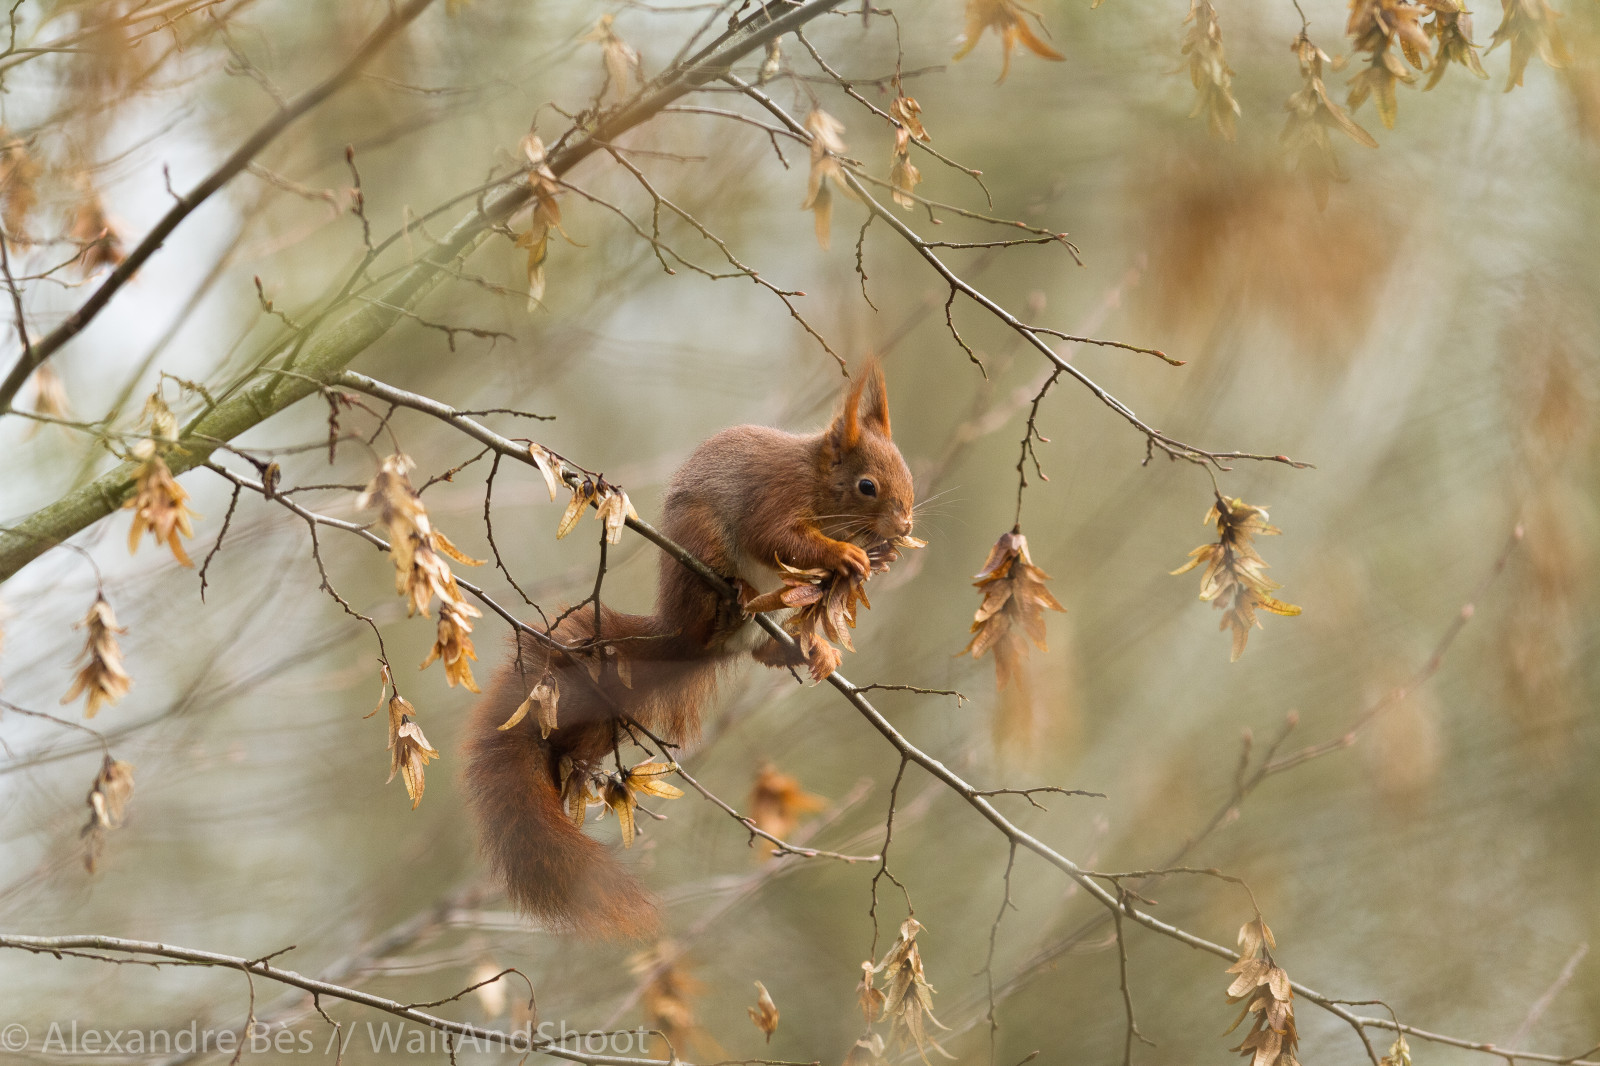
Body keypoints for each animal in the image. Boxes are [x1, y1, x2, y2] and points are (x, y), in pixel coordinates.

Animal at [462, 361, 914, 939]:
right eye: (867, 486)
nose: (904, 526)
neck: (817, 482)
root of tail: (675, 630)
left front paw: (880, 557)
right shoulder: (776, 494)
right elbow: (776, 537)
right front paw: (846, 554)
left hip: (766, 622)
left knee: (763, 652)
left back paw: (809, 650)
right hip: (701, 549)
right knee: (709, 615)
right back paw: (732, 601)